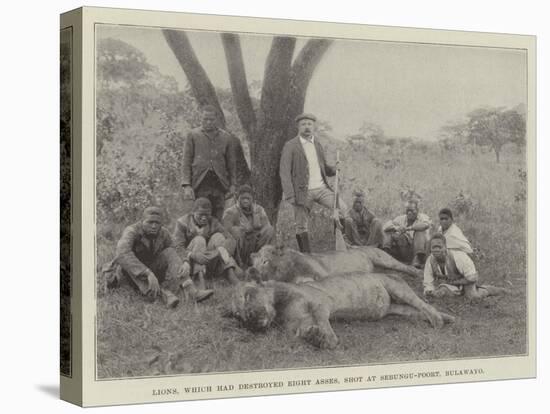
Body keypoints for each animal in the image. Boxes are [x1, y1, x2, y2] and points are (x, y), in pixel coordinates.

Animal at [233, 272, 458, 350]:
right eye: (238, 316)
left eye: (247, 296)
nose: (249, 320)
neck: (279, 309)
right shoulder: (299, 322)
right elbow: (299, 334)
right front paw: (314, 337)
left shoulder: (320, 304)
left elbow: (326, 328)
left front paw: (327, 340)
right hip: (397, 309)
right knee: (418, 311)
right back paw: (448, 318)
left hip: (396, 286)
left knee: (423, 304)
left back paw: (439, 321)